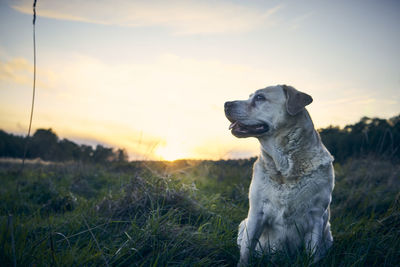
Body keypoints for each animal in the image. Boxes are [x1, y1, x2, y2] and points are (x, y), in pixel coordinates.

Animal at [225, 85, 334, 266]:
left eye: (260, 98)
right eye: (250, 96)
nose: (226, 103)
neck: (285, 169)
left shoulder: (316, 217)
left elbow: (313, 255)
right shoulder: (256, 213)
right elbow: (246, 251)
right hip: (243, 224)